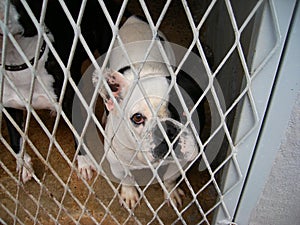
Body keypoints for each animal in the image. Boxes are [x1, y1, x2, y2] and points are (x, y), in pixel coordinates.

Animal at [1, 0, 120, 182]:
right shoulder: (9, 107)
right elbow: (16, 137)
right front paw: (23, 165)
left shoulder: (69, 100)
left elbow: (78, 132)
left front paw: (84, 162)